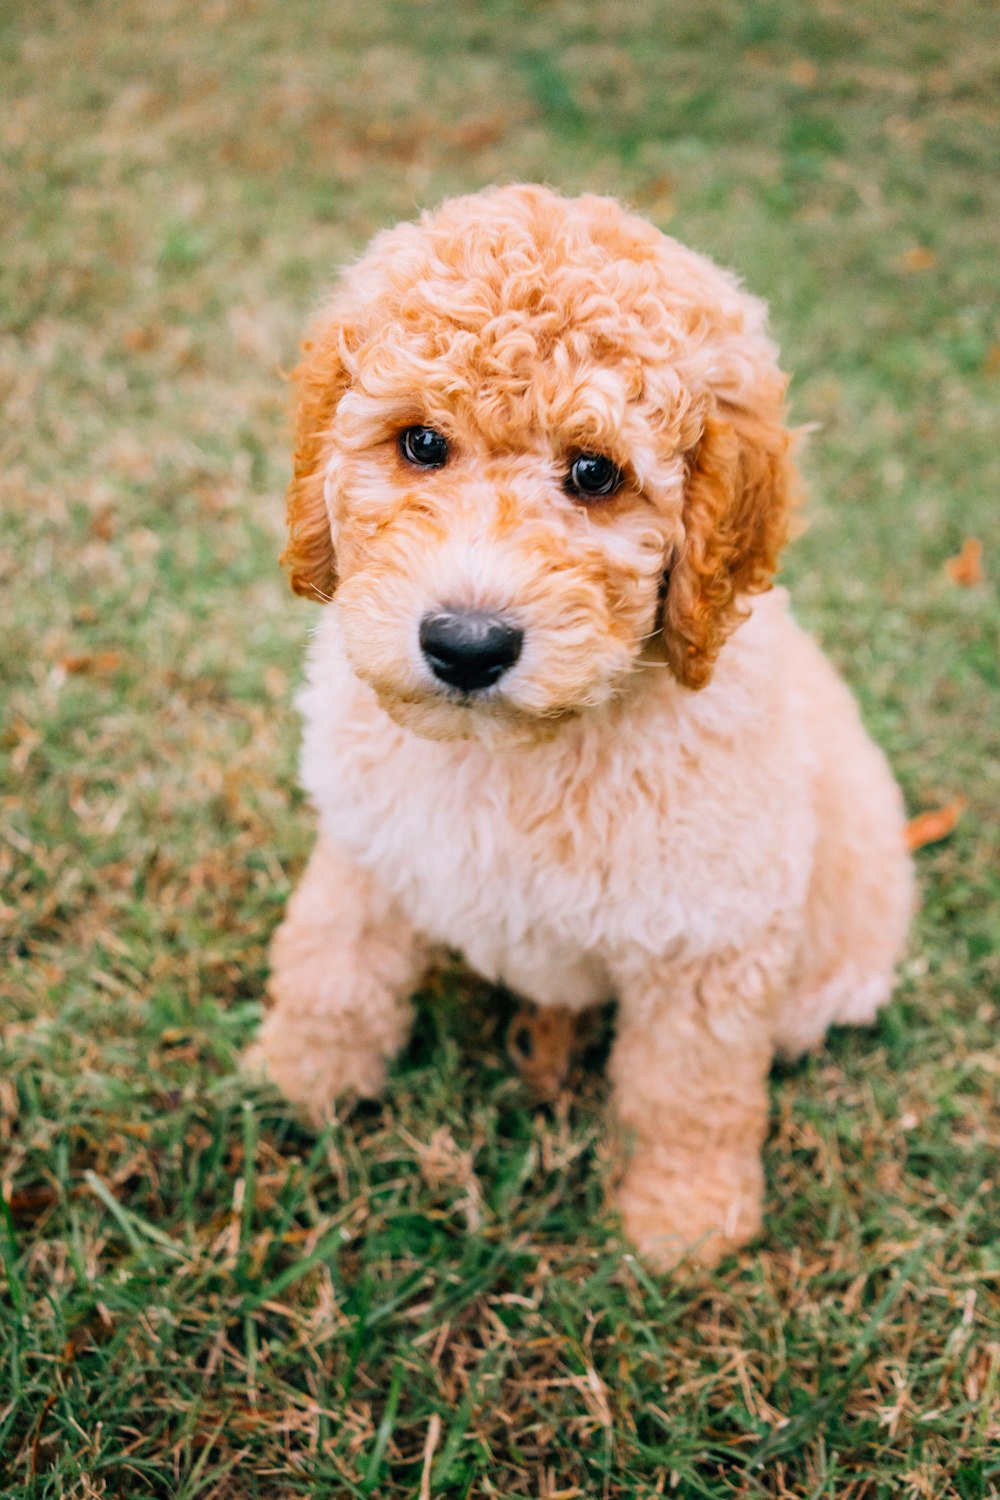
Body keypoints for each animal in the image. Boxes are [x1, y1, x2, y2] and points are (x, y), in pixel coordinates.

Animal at [250, 184, 917, 1266]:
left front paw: (684, 1226)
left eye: (596, 474)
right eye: (421, 444)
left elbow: (687, 1090)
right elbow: (331, 966)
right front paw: (297, 1082)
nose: (466, 645)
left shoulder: (709, 938)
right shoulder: (368, 842)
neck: (516, 752)